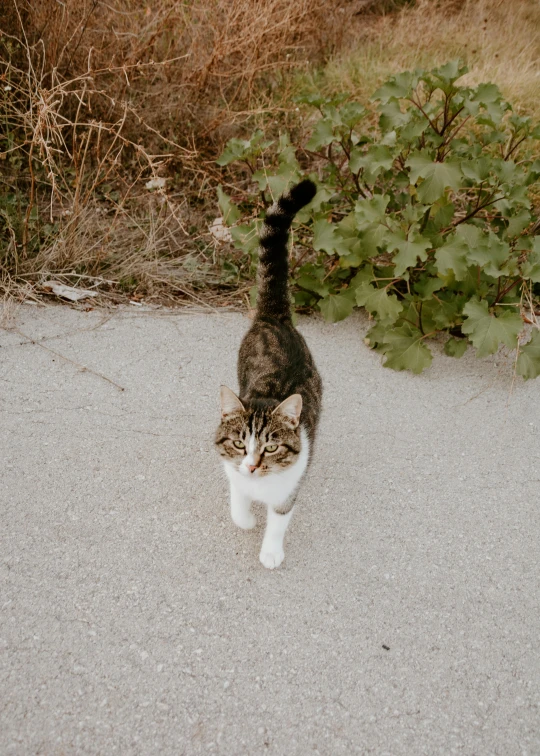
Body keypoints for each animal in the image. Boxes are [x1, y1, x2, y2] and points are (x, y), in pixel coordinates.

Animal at [216, 179, 324, 568]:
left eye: (273, 447)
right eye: (238, 443)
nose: (251, 467)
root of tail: (274, 317)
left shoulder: (290, 486)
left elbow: (279, 519)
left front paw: (271, 551)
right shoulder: (231, 468)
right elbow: (237, 501)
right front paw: (246, 519)